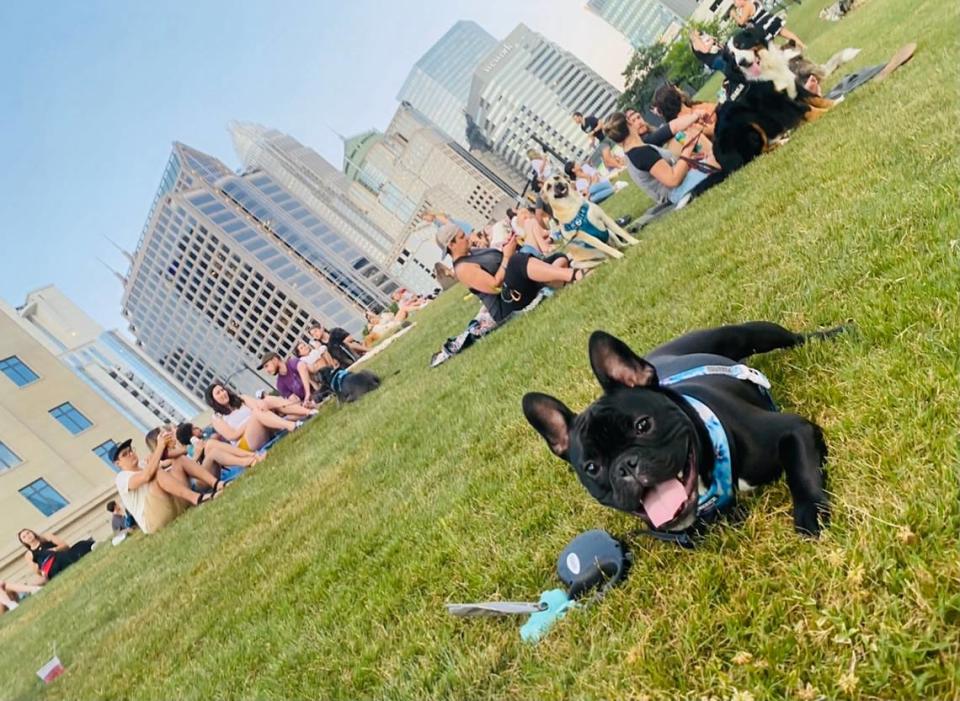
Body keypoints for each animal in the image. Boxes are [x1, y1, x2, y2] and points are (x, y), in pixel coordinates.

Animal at [524, 320, 848, 540]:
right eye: (591, 467)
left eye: (643, 425)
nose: (625, 466)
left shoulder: (794, 430)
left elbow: (801, 473)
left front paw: (810, 517)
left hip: (745, 334)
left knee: (794, 338)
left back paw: (838, 333)